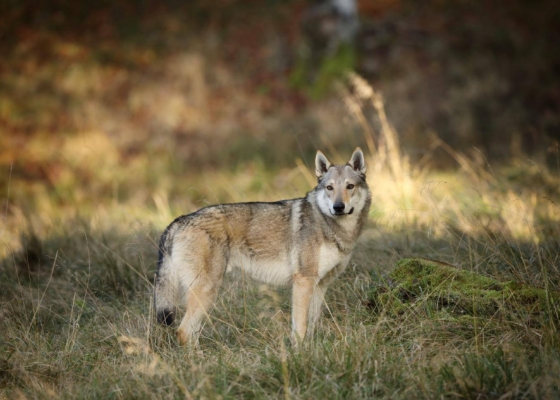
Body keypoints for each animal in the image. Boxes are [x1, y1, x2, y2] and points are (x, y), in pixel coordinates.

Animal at [153, 148, 372, 344]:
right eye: (330, 188)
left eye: (350, 186)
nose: (338, 207)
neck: (330, 225)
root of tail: (178, 221)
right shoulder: (303, 282)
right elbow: (300, 329)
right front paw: (300, 353)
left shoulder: (320, 285)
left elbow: (311, 326)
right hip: (207, 291)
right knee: (183, 332)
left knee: (191, 333)